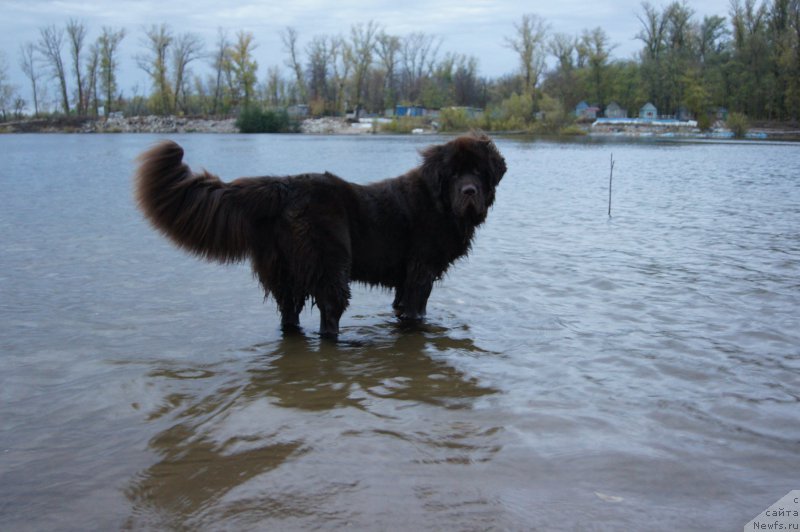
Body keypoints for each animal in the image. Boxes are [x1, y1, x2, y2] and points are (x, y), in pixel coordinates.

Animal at [134, 133, 504, 336]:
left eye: (478, 172)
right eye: (454, 173)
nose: (469, 191)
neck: (439, 202)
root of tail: (284, 185)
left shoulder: (404, 278)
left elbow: (400, 306)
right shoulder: (420, 272)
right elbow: (417, 310)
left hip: (283, 270)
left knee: (289, 312)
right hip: (330, 263)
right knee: (329, 312)